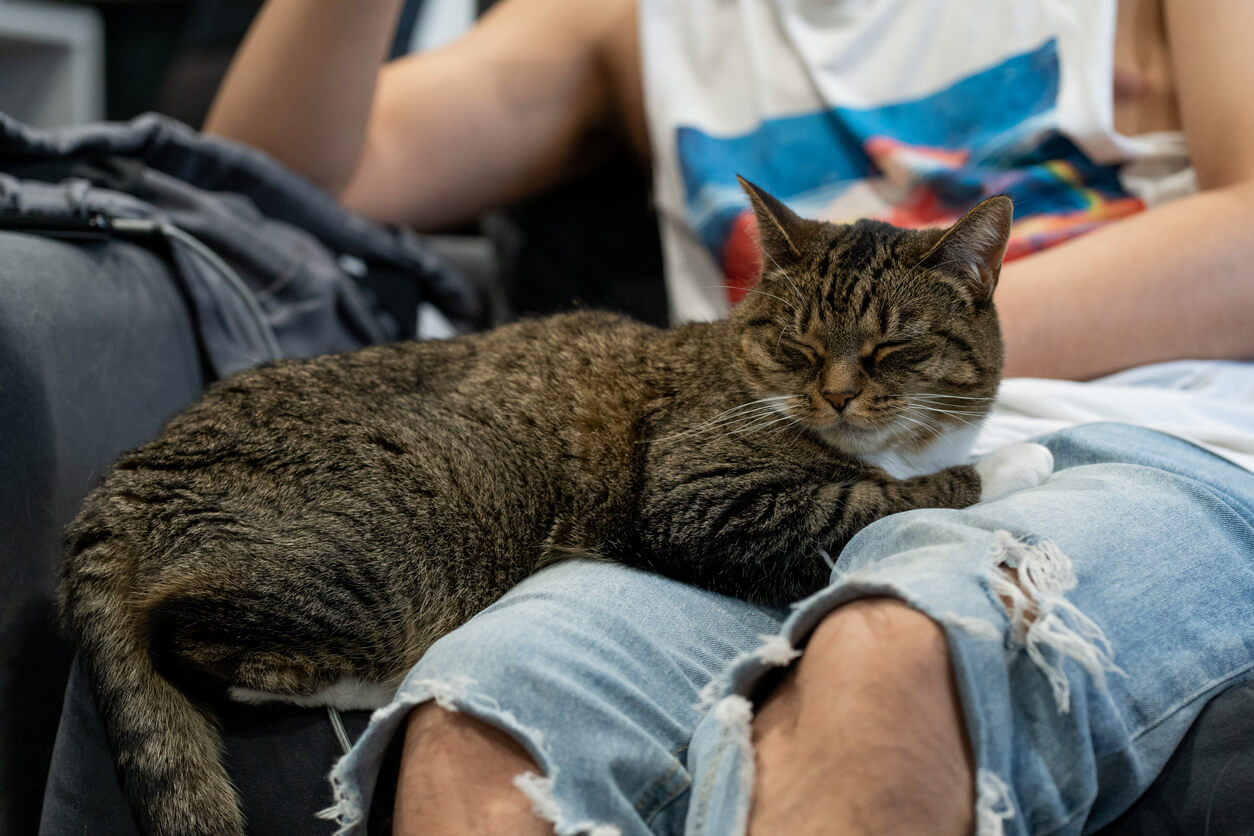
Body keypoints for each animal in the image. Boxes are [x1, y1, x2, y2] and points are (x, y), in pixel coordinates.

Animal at [63, 182, 1053, 836]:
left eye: (892, 349)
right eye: (799, 345)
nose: (840, 396)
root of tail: (121, 481)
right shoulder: (701, 499)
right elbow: (880, 491)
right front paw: (1013, 460)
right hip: (399, 545)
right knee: (191, 641)